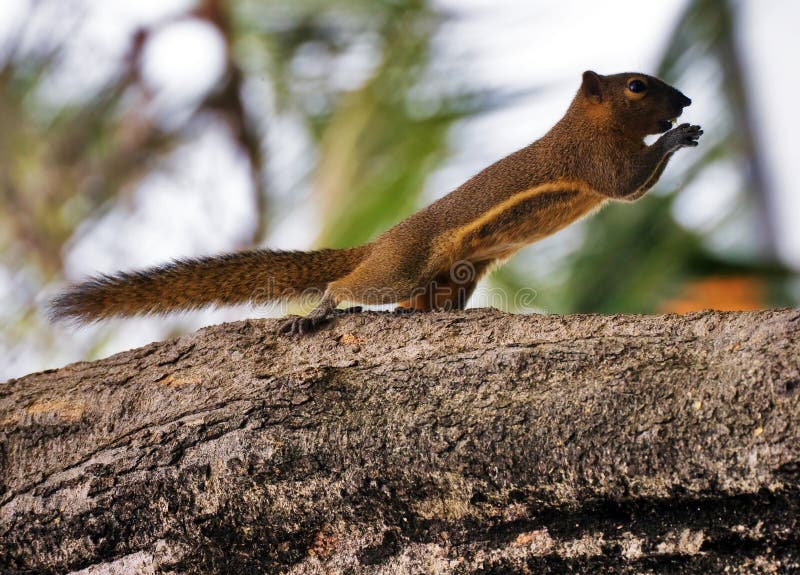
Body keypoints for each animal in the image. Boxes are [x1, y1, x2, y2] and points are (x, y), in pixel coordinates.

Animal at [50, 71, 702, 335]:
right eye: (636, 85)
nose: (686, 99)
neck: (585, 122)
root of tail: (378, 243)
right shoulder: (593, 162)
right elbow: (629, 184)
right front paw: (677, 136)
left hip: (451, 276)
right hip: (400, 267)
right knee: (347, 287)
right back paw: (317, 312)